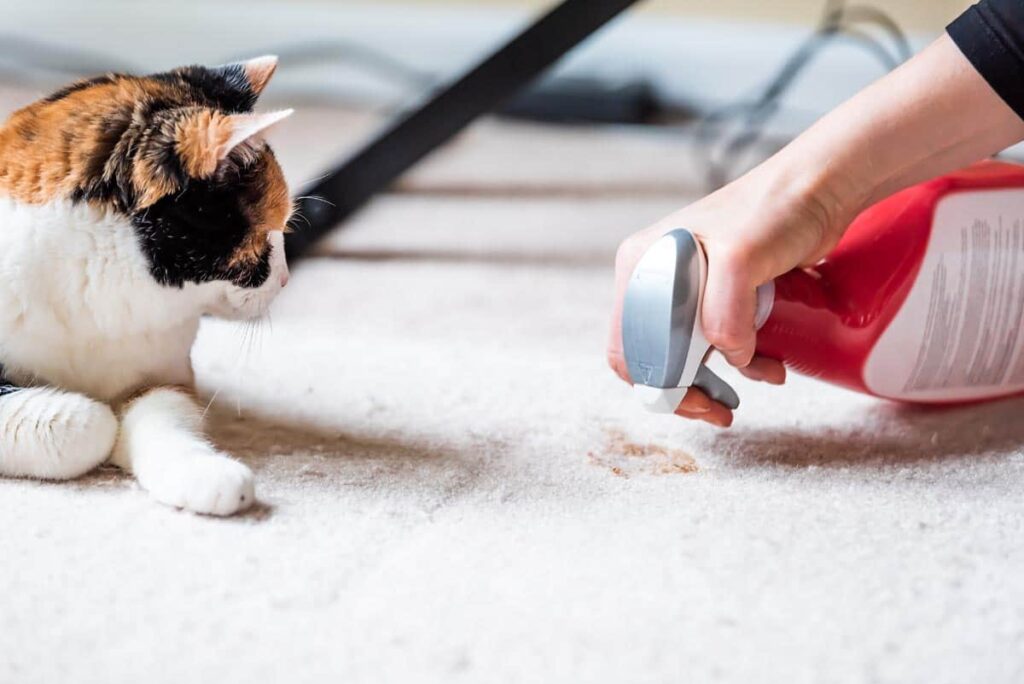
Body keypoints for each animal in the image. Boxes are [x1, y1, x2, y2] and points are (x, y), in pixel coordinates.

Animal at [0, 57, 292, 511]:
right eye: (267, 234)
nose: (284, 278)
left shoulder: (165, 375)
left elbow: (164, 418)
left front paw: (208, 476)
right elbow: (88, 424)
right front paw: (98, 421)